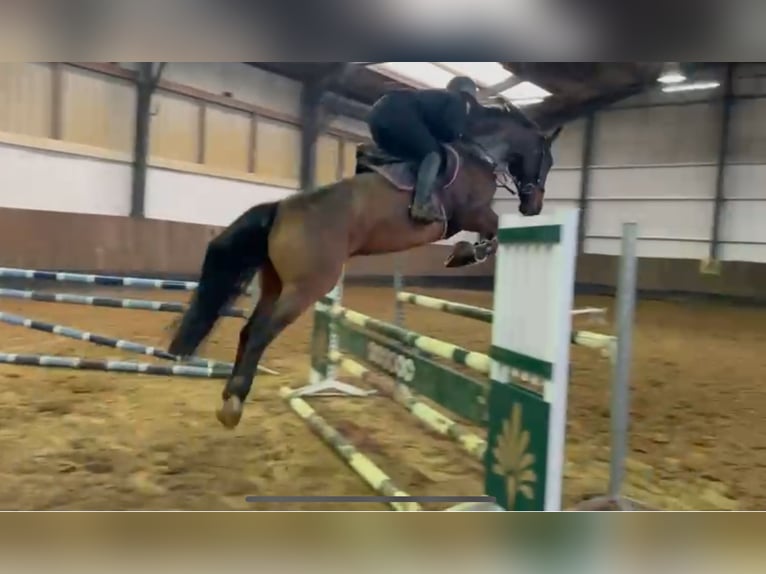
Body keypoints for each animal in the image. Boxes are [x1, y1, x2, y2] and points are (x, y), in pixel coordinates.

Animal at [170, 103, 564, 430]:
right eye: (547, 159)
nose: (533, 208)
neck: (480, 154)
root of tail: (281, 208)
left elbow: (492, 234)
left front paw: (464, 252)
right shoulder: (472, 212)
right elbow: (494, 231)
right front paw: (465, 253)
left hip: (276, 285)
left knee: (249, 330)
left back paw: (231, 395)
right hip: (307, 287)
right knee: (260, 334)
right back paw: (233, 405)